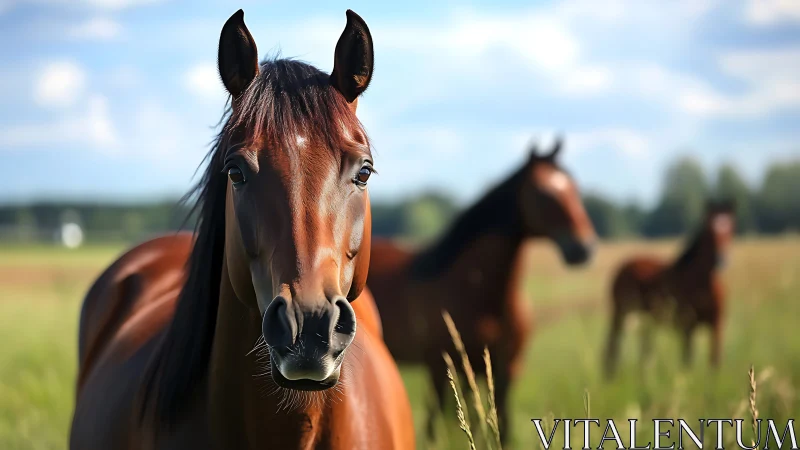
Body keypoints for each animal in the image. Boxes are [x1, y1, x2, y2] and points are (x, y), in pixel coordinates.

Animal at [366, 138, 597, 443]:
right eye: (543, 193)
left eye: (575, 188)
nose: (584, 248)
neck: (480, 295)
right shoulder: (440, 367)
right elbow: (435, 427)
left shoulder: (504, 369)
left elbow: (497, 424)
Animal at [603, 200, 737, 378]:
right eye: (709, 231)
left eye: (731, 228)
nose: (721, 259)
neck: (703, 282)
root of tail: (622, 267)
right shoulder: (687, 326)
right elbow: (687, 361)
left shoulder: (717, 324)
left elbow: (715, 361)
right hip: (622, 313)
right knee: (613, 347)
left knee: (641, 352)